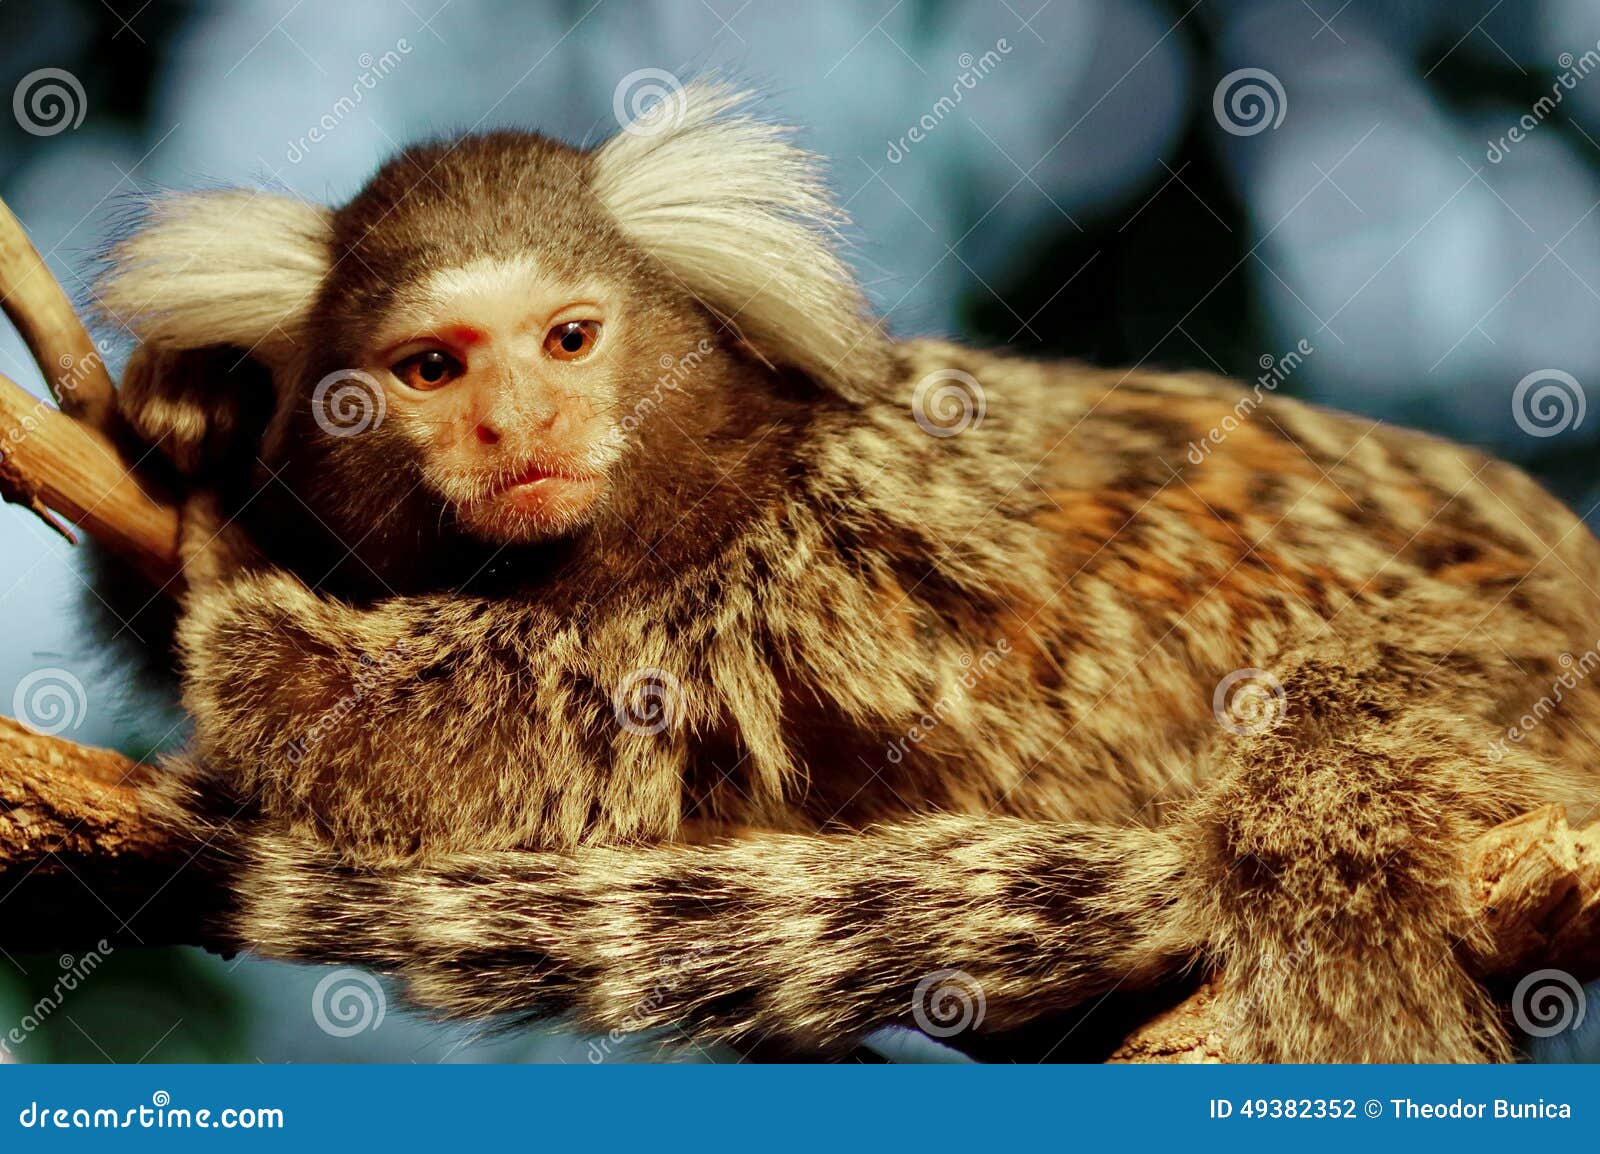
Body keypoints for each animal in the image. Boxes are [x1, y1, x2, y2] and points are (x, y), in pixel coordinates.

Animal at [96, 83, 1600, 1062]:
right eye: (430, 368)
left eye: (570, 338)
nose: (515, 428)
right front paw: (193, 409)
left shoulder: (747, 579)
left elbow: (411, 748)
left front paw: (222, 567)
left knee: (1312, 777)